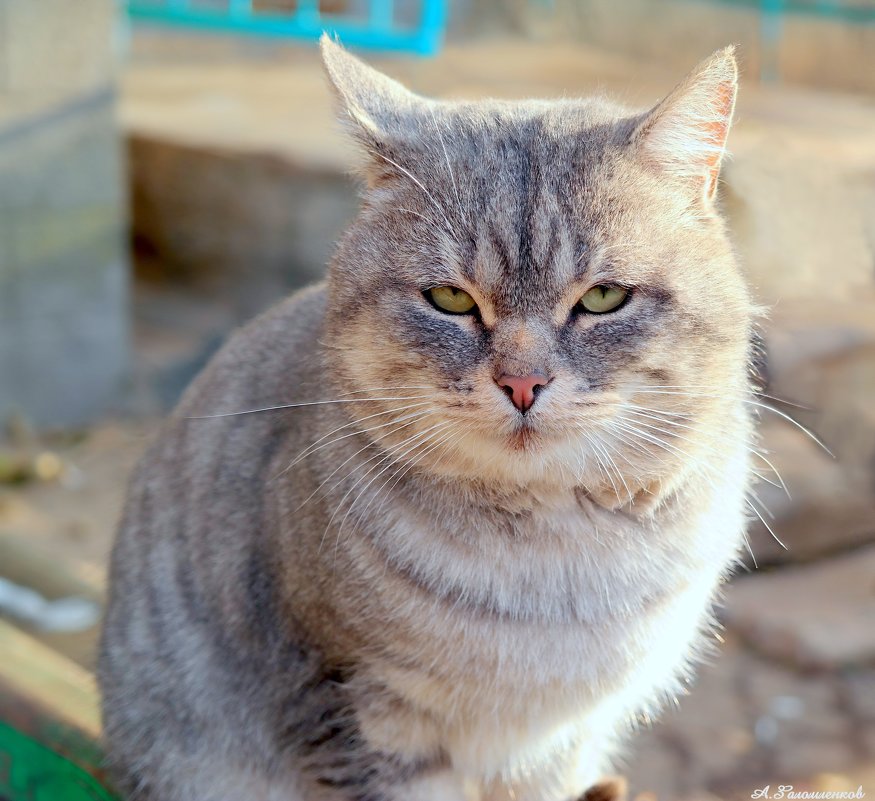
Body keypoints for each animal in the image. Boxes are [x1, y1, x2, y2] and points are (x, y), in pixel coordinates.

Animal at [99, 36, 756, 800]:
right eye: (449, 299)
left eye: (602, 298)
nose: (522, 382)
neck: (551, 569)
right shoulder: (345, 702)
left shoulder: (561, 741)